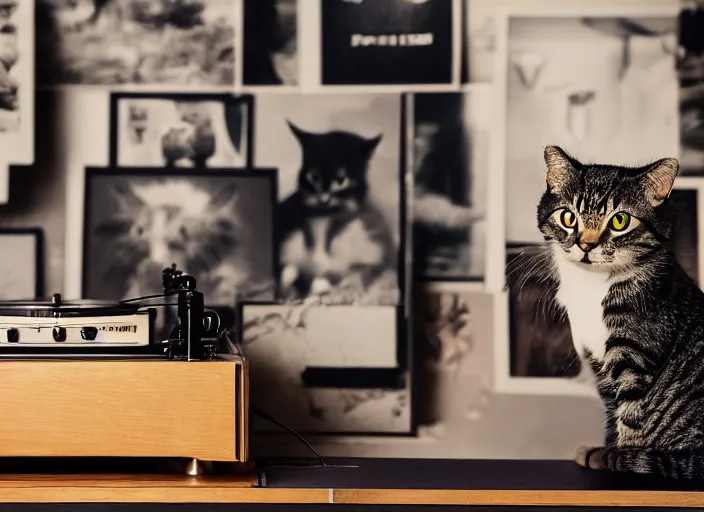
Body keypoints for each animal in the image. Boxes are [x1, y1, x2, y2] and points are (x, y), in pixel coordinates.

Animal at [280, 121, 396, 300]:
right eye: (314, 177)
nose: (324, 199)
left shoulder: (376, 249)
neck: (325, 216)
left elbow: (358, 271)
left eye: (341, 180)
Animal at [532, 145, 704, 480]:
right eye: (568, 217)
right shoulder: (597, 360)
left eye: (620, 220)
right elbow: (614, 411)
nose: (586, 245)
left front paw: (621, 457)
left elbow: (632, 416)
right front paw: (609, 447)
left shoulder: (634, 355)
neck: (591, 288)